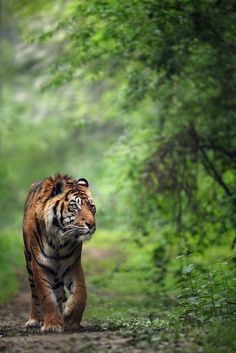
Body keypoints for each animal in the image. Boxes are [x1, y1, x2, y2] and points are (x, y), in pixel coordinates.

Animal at [22, 175, 96, 332]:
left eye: (92, 207)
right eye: (74, 207)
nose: (91, 225)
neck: (59, 240)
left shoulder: (72, 265)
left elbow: (81, 293)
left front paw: (71, 319)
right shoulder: (40, 265)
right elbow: (47, 297)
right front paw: (52, 324)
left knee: (59, 292)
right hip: (29, 263)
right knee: (34, 293)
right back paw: (35, 320)